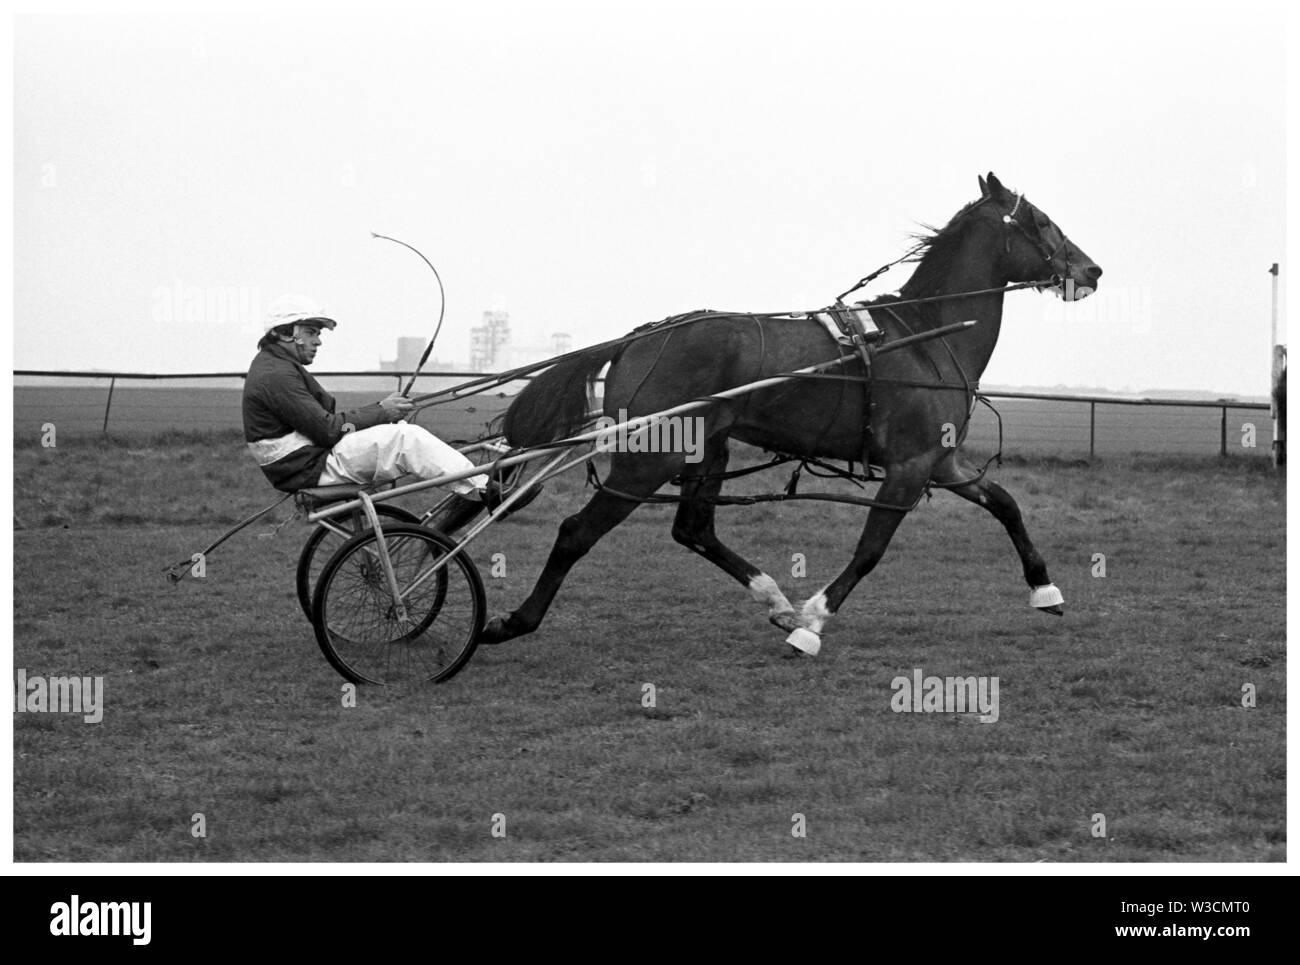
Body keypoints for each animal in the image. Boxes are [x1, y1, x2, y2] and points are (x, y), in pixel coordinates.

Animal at [483, 174, 1102, 658]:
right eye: (1042, 221)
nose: (1093, 269)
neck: (927, 336)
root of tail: (640, 338)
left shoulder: (941, 461)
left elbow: (1005, 503)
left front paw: (1044, 589)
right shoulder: (909, 466)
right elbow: (870, 550)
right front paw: (811, 623)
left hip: (706, 449)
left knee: (694, 529)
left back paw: (774, 598)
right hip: (650, 459)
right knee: (577, 533)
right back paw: (515, 621)